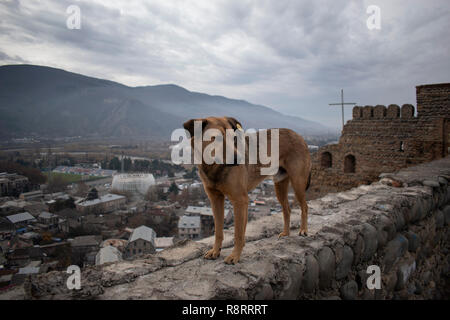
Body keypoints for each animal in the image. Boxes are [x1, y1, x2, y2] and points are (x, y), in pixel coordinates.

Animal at [182, 116, 310, 264]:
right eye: (217, 138)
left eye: (234, 138)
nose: (238, 159)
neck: (215, 168)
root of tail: (299, 136)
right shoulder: (216, 200)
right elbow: (219, 231)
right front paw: (215, 251)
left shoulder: (240, 200)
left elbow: (238, 233)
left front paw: (234, 256)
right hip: (279, 185)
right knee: (287, 209)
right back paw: (286, 233)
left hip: (298, 182)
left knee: (305, 207)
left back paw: (303, 230)